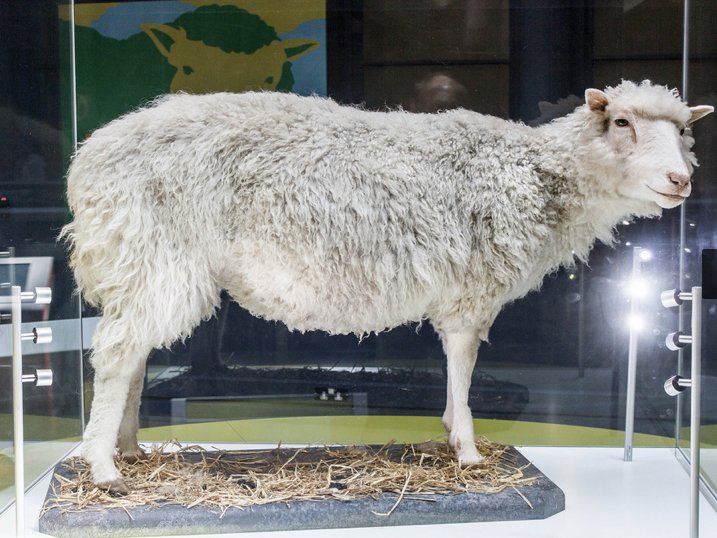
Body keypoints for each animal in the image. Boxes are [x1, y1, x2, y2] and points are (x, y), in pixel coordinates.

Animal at [61, 80, 713, 494]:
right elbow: (462, 362)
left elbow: (458, 366)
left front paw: (453, 434)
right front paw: (467, 448)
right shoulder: (471, 288)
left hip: (144, 267)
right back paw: (102, 467)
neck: (534, 176)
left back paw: (128, 449)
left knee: (133, 354)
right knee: (117, 355)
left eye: (685, 131)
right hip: (155, 253)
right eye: (622, 123)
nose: (680, 180)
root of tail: (88, 158)